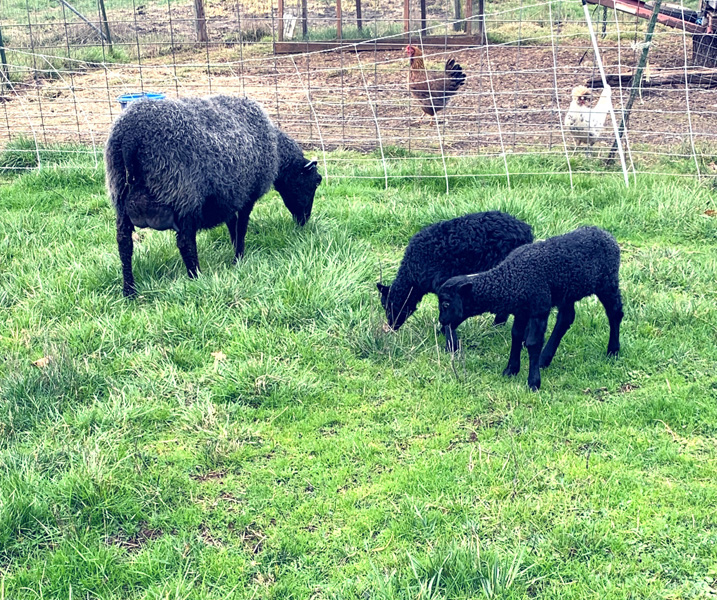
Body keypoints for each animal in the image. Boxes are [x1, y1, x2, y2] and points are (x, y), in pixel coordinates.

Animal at [104, 94, 322, 298]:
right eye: (315, 182)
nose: (304, 221)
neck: (275, 149)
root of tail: (130, 136)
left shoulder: (230, 196)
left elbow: (232, 225)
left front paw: (235, 253)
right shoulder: (247, 196)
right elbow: (241, 228)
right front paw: (238, 259)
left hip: (120, 198)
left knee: (124, 243)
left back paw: (129, 291)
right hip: (182, 194)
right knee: (185, 242)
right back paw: (196, 278)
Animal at [436, 227, 620, 392]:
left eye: (446, 304)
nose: (442, 321)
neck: (510, 279)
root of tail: (607, 235)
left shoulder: (539, 309)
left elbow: (532, 343)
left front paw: (533, 383)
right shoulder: (521, 311)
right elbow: (516, 335)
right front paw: (511, 370)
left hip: (607, 282)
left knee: (615, 313)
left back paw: (613, 350)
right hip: (567, 292)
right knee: (566, 319)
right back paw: (545, 359)